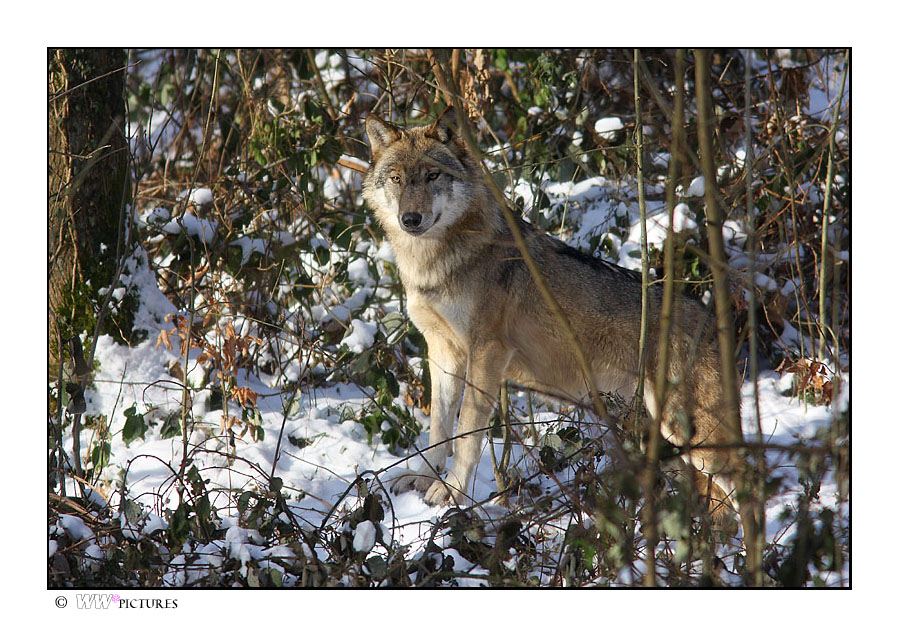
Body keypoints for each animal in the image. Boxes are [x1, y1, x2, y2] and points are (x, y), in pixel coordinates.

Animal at [358, 110, 760, 560]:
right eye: (396, 178)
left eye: (431, 176)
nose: (411, 220)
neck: (435, 262)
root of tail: (713, 320)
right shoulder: (442, 352)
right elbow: (438, 428)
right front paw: (422, 478)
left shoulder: (487, 352)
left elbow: (467, 435)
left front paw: (451, 495)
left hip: (689, 432)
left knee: (750, 486)